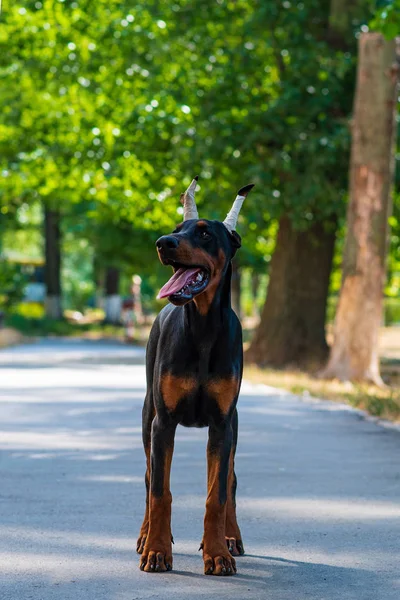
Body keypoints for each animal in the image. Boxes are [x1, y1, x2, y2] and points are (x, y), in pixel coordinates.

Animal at [136, 177, 255, 576]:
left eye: (204, 233)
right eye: (177, 229)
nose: (163, 243)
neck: (202, 329)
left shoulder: (221, 424)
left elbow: (216, 494)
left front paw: (217, 552)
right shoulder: (163, 423)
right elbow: (160, 491)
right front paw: (156, 550)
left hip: (233, 427)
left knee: (229, 478)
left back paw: (231, 538)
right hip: (147, 417)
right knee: (148, 478)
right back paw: (144, 536)